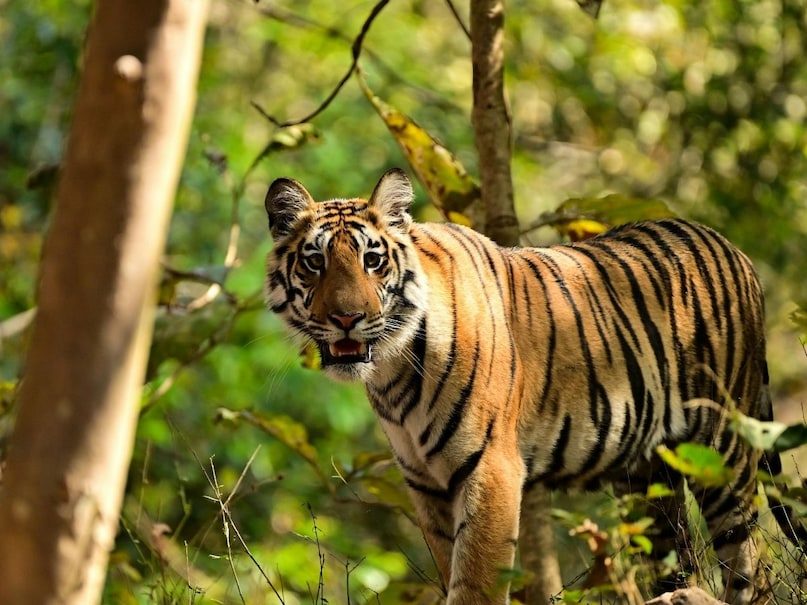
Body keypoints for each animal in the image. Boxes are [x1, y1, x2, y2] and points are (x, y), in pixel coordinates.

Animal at [263, 168, 805, 604]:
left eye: (372, 261)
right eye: (314, 262)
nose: (347, 318)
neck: (393, 371)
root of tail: (733, 248)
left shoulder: (490, 467)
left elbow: (475, 584)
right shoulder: (424, 482)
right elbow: (450, 567)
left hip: (722, 452)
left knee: (750, 569)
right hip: (650, 478)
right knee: (676, 561)